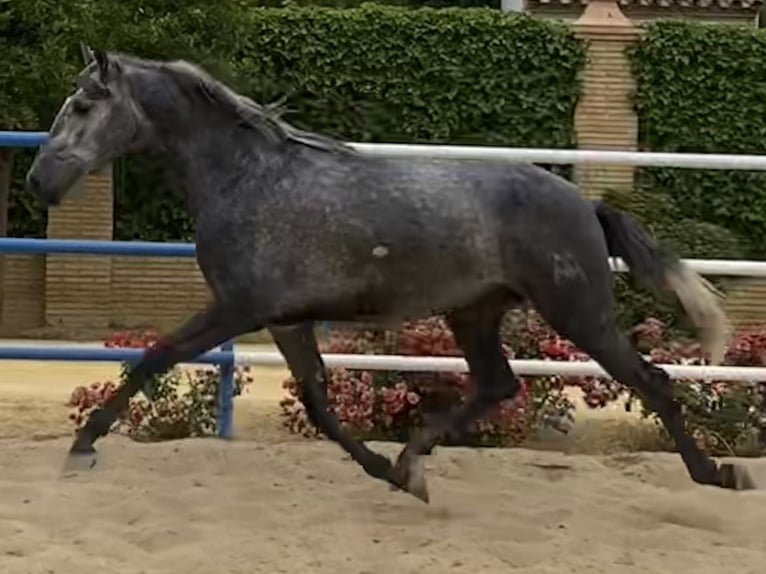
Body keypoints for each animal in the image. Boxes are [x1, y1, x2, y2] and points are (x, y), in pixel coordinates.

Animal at [27, 48, 760, 500]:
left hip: (577, 312)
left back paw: (718, 475)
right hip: (475, 312)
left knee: (652, 380)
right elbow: (321, 407)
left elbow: (155, 357)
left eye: (84, 105)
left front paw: (81, 448)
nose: (39, 180)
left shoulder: (238, 309)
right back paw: (413, 459)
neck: (251, 179)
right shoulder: (286, 320)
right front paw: (388, 472)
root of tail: (585, 204)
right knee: (497, 384)